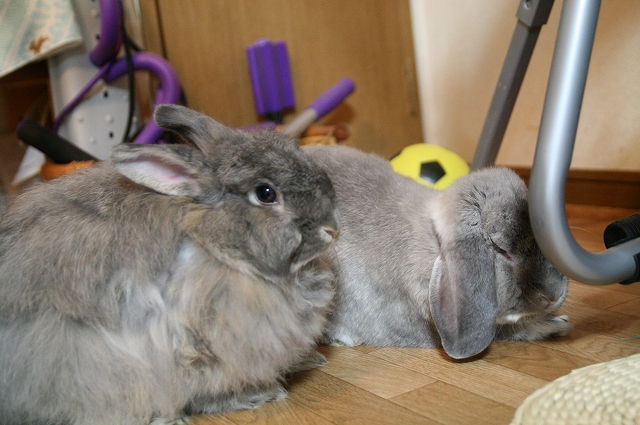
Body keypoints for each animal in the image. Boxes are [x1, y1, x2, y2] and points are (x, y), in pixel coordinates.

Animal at [0, 105, 339, 425]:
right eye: (266, 194)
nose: (332, 230)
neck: (213, 244)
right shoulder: (194, 345)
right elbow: (205, 387)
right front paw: (260, 394)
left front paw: (310, 359)